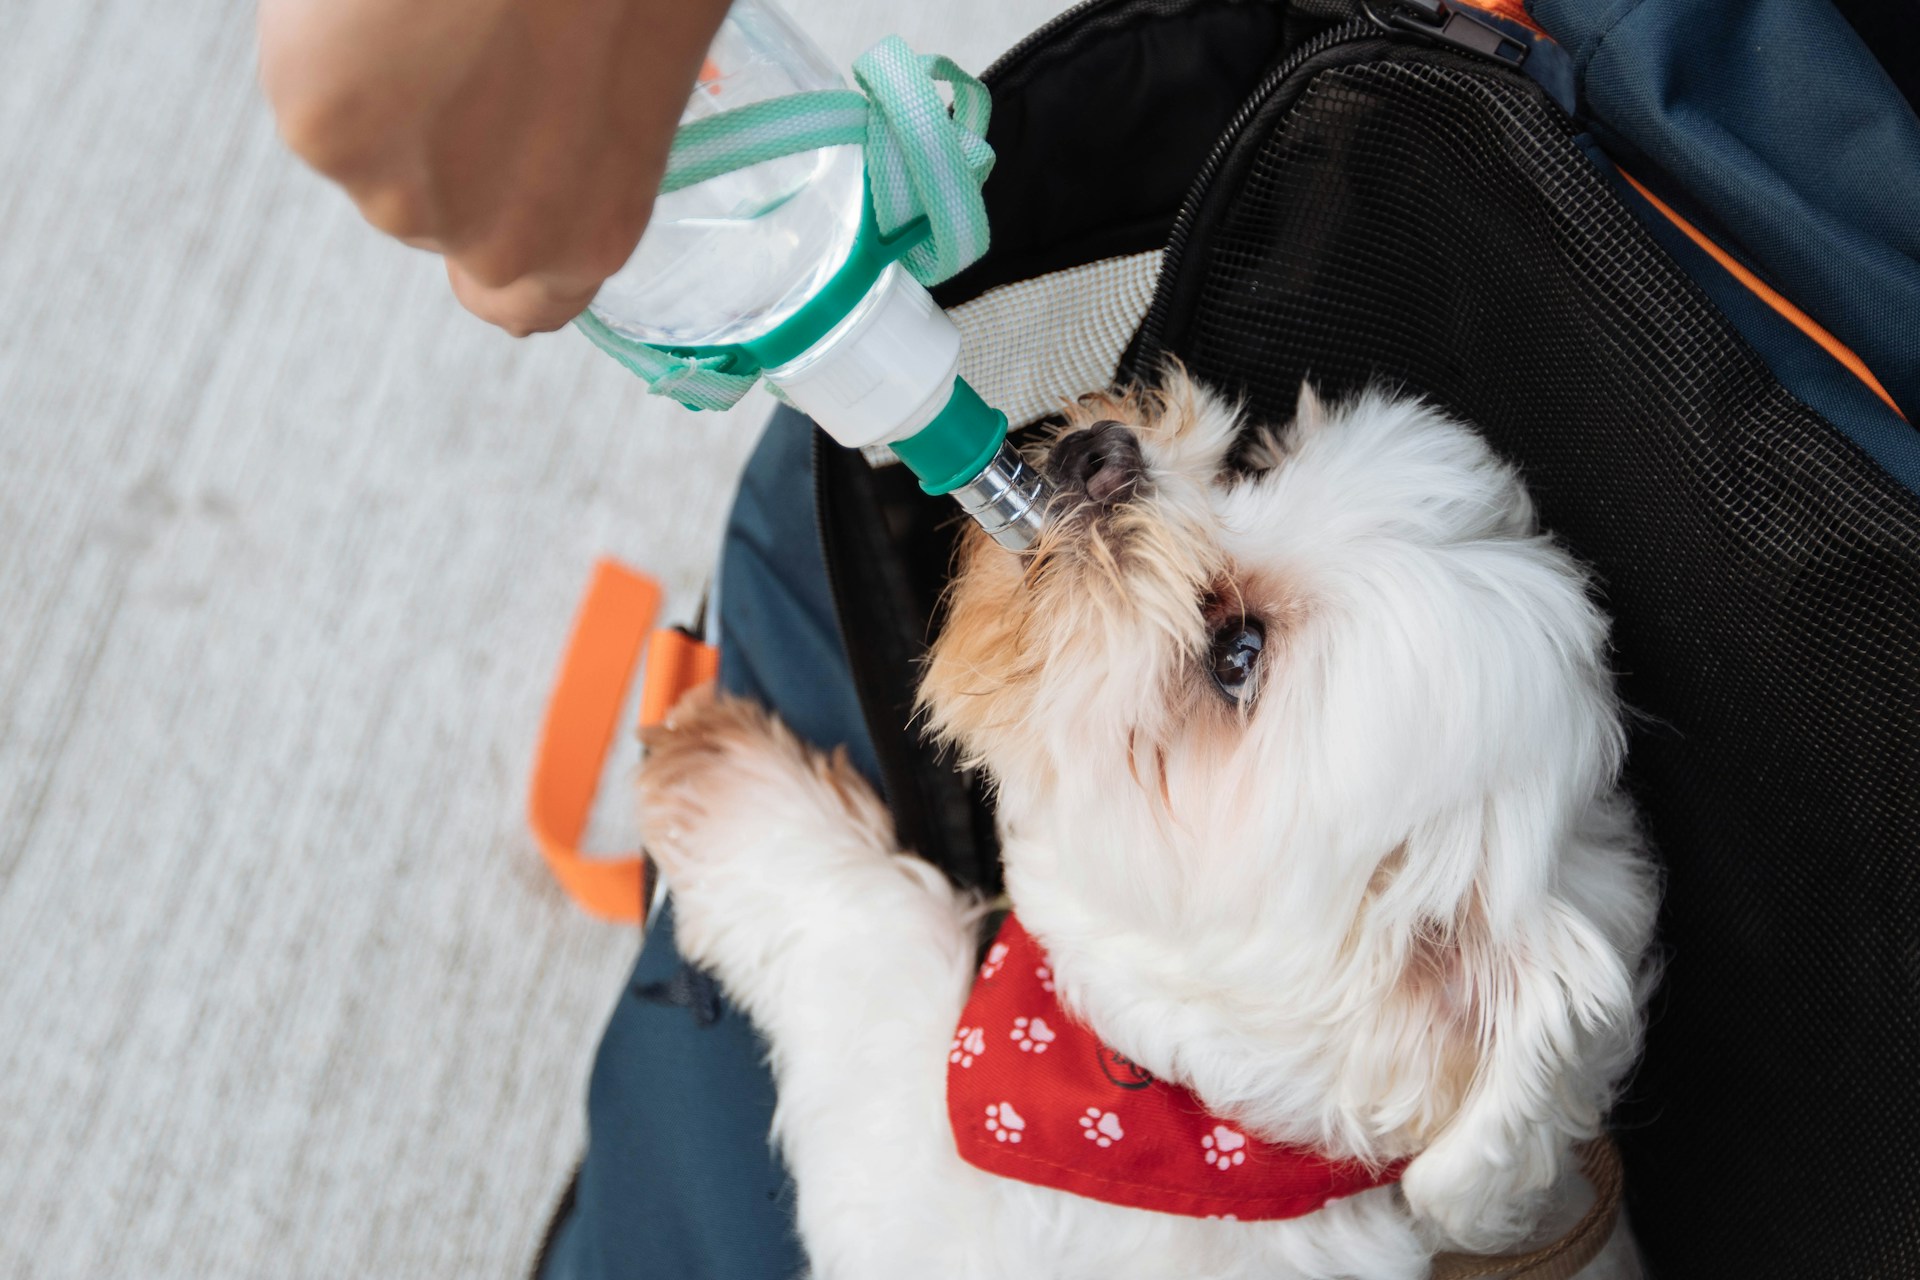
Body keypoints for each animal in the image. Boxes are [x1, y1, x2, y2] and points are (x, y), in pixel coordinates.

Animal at [637, 364, 1658, 1274]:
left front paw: (730, 783)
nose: (1103, 456)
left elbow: (874, 957)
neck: (1166, 1115)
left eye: (1236, 655)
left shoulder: (924, 1204)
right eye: (1253, 463)